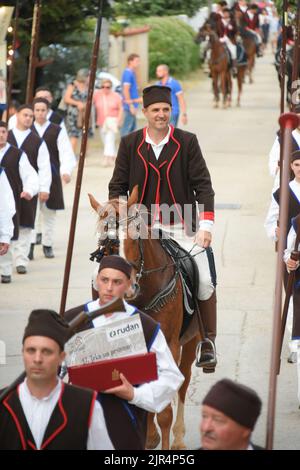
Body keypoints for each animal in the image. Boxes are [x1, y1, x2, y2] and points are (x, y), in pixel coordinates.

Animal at [89, 189, 202, 450]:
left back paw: (178, 437)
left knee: (183, 381)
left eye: (137, 233)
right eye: (106, 241)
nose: (127, 287)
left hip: (190, 341)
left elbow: (165, 410)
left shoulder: (171, 344)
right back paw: (151, 437)